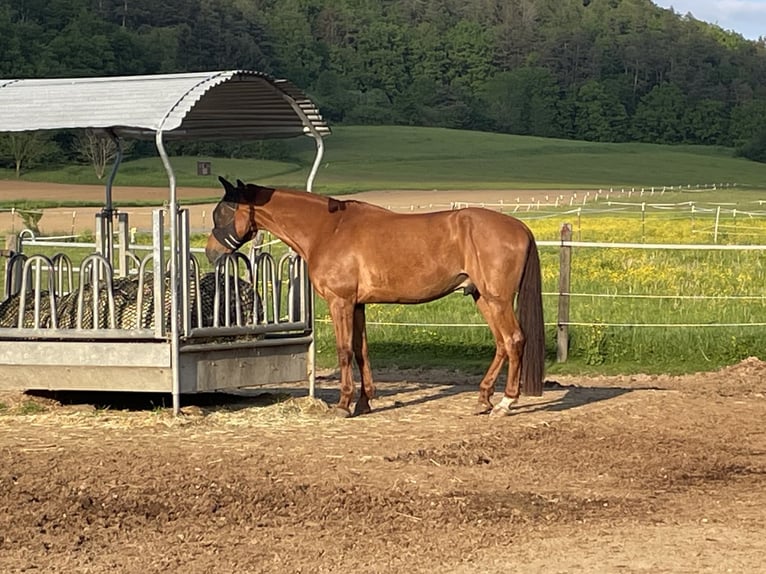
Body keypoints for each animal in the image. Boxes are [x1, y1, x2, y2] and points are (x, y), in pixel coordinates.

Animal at [205, 177, 545, 417]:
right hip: (482, 298)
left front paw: (344, 405)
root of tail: (521, 228)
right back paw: (483, 399)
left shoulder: (340, 302)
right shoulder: (358, 305)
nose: (211, 253)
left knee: (514, 340)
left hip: (497, 299)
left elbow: (344, 350)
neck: (328, 230)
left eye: (223, 212)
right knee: (501, 344)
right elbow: (361, 351)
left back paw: (505, 403)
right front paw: (364, 402)